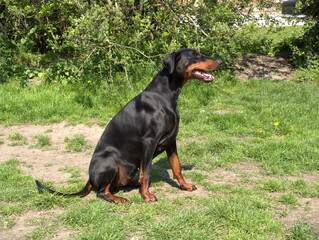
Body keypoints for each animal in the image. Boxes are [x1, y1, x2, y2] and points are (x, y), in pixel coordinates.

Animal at [35, 48, 222, 204]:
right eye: (196, 55)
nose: (220, 61)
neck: (165, 95)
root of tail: (89, 178)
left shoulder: (171, 140)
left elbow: (177, 167)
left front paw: (185, 186)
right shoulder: (149, 141)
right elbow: (147, 172)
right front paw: (146, 196)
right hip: (110, 159)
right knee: (101, 192)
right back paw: (119, 199)